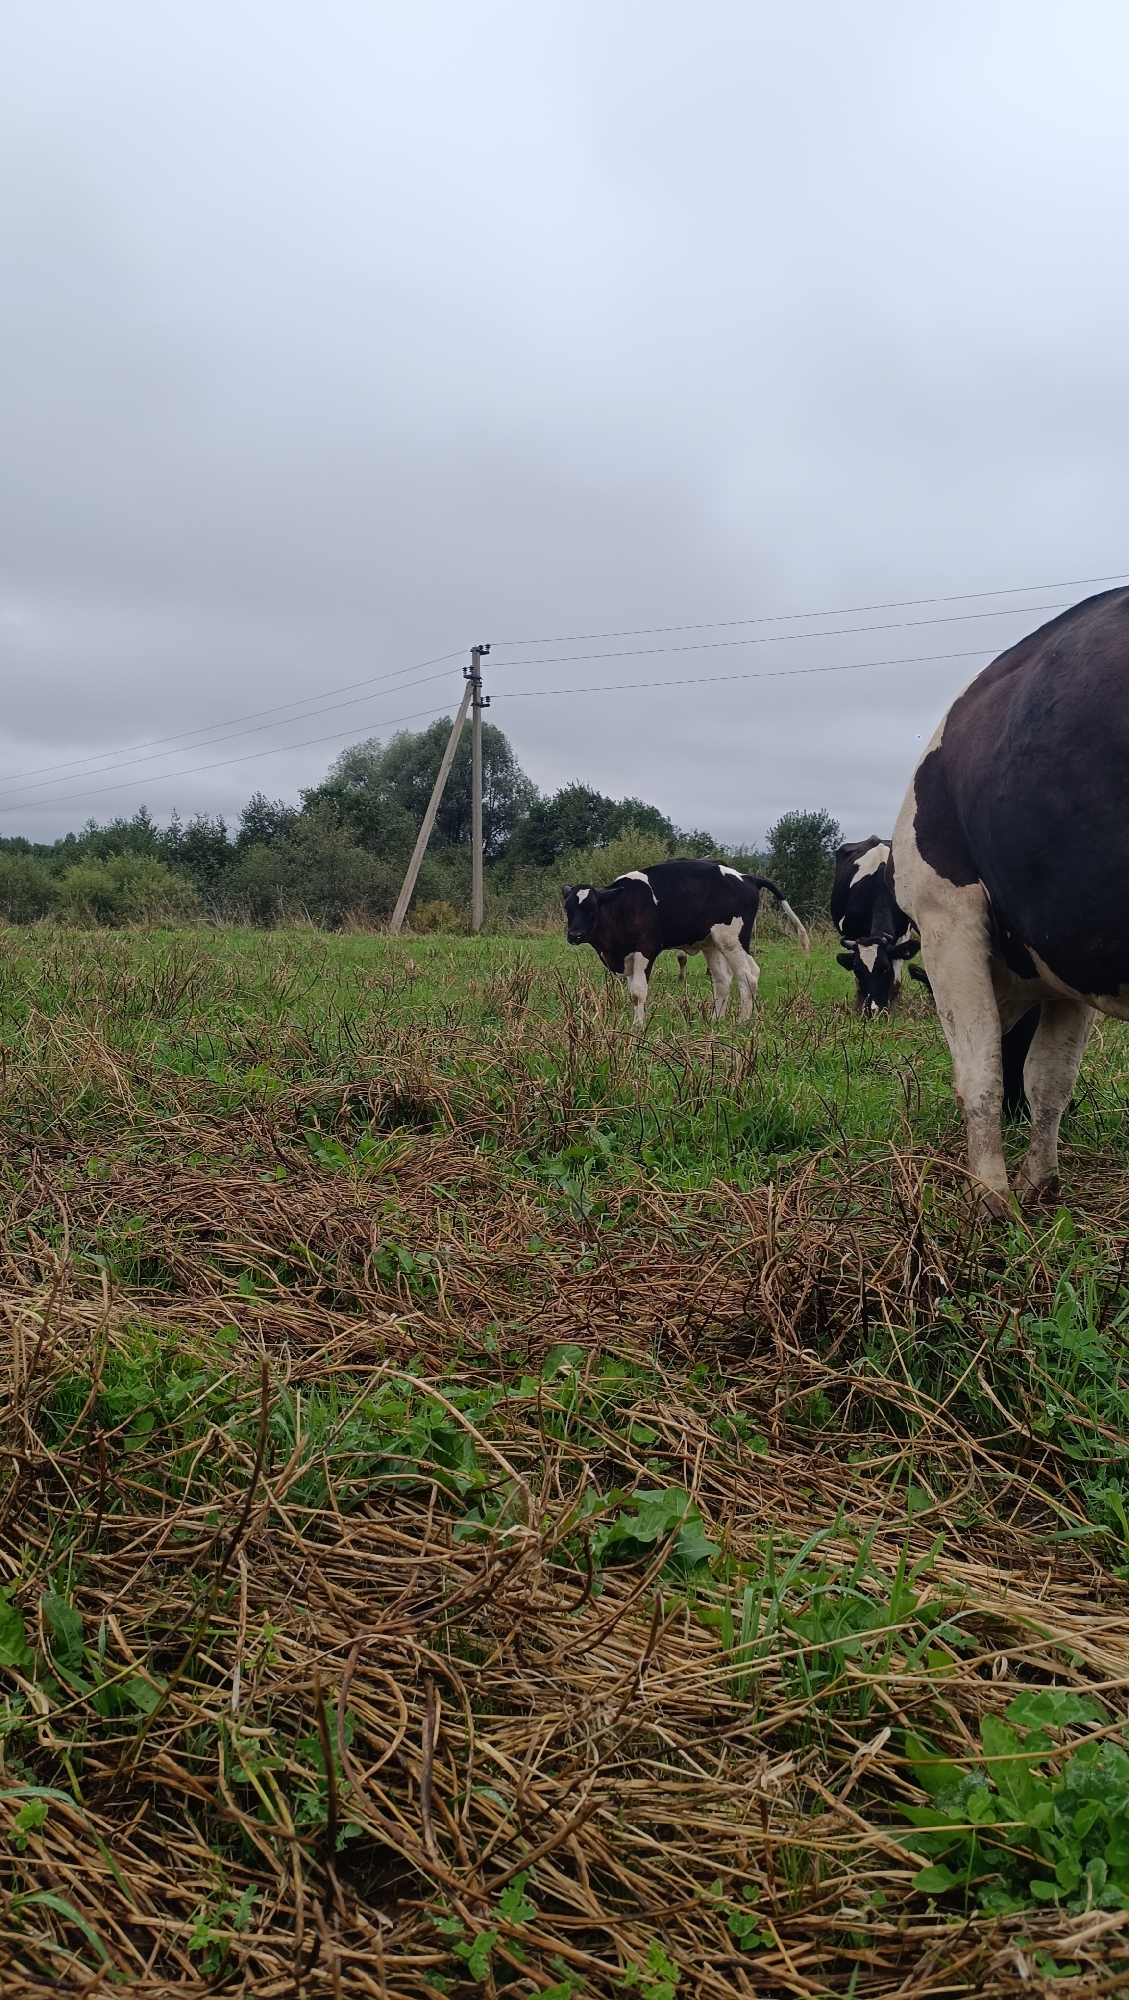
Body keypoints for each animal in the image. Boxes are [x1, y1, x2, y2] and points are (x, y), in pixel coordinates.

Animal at [561, 858, 810, 1025]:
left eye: (592, 909)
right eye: (568, 909)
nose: (575, 935)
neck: (623, 906)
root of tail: (747, 878)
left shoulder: (646, 949)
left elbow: (638, 992)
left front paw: (638, 1027)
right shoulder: (627, 955)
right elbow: (632, 992)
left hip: (732, 940)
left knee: (748, 976)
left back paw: (742, 1022)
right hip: (712, 943)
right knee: (723, 980)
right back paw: (716, 1020)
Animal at [831, 837, 922, 1013]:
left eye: (885, 968)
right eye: (858, 970)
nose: (874, 1009)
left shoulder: (902, 934)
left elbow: (896, 983)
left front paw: (891, 1013)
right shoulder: (851, 935)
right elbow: (858, 984)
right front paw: (859, 1011)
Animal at [891, 585, 1129, 1215]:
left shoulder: (947, 915)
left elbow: (982, 1072)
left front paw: (991, 1194)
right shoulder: (1070, 957)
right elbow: (1050, 1077)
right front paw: (1036, 1182)